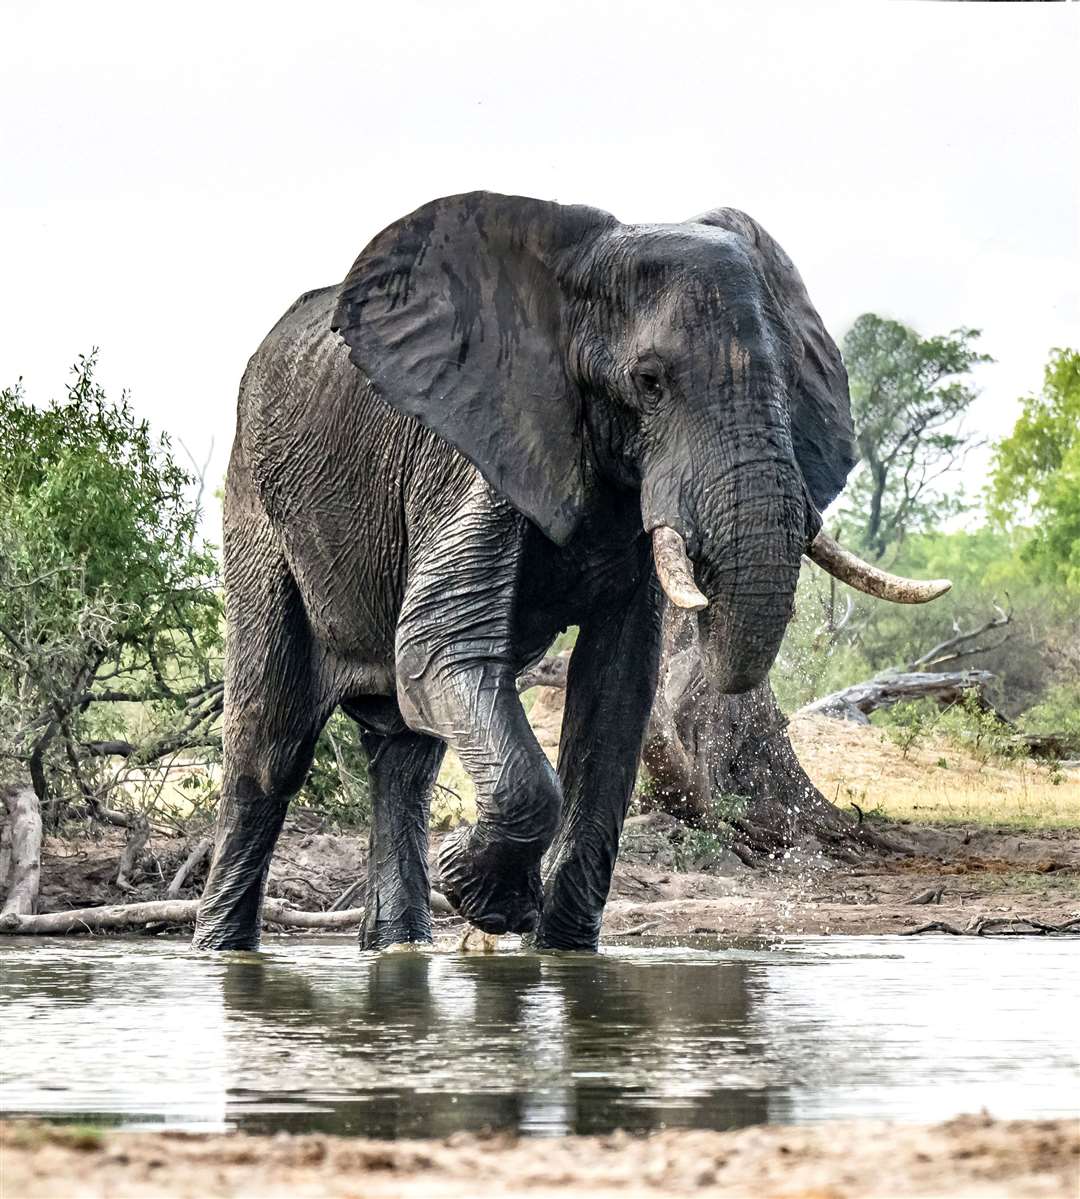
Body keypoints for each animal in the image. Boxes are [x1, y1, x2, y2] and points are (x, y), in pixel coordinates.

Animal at [194, 187, 944, 954]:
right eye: (650, 383)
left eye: (791, 384)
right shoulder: (472, 450)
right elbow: (439, 649)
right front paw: (484, 895)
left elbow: (616, 686)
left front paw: (556, 947)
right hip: (257, 505)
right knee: (270, 745)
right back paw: (222, 948)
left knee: (405, 753)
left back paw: (400, 945)